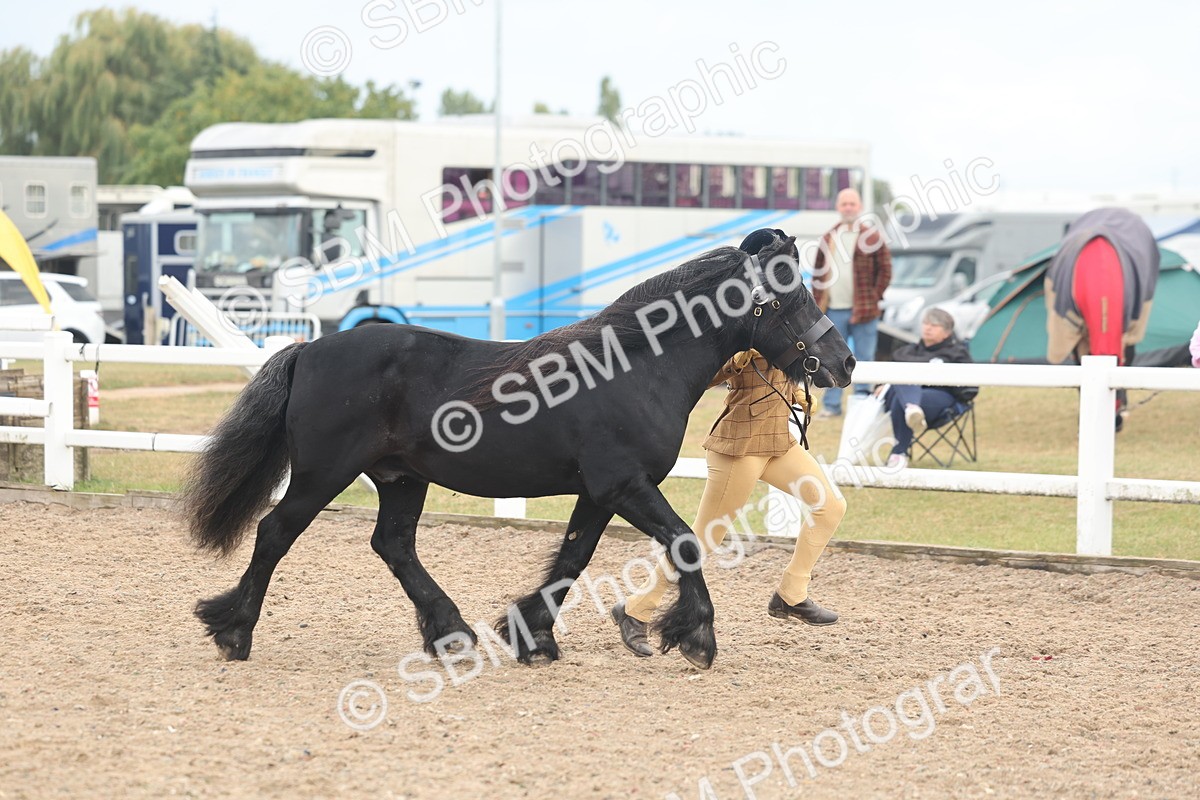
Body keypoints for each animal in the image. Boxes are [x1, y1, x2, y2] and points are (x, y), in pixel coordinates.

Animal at [180, 234, 854, 669]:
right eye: (790, 297)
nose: (844, 363)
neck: (638, 366)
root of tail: (310, 350)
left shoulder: (599, 491)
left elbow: (573, 559)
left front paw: (534, 638)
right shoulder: (625, 484)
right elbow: (684, 540)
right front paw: (697, 639)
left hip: (400, 478)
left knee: (393, 545)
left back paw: (451, 635)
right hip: (325, 473)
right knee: (275, 532)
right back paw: (233, 633)